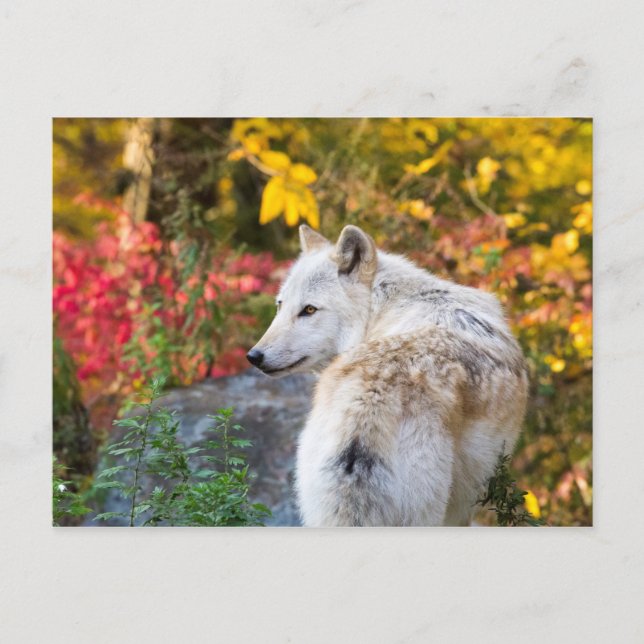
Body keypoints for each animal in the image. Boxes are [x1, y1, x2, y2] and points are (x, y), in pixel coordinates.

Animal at [247, 224, 528, 526]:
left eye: (309, 310)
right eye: (280, 305)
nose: (254, 356)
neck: (381, 310)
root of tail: (367, 409)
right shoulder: (463, 507)